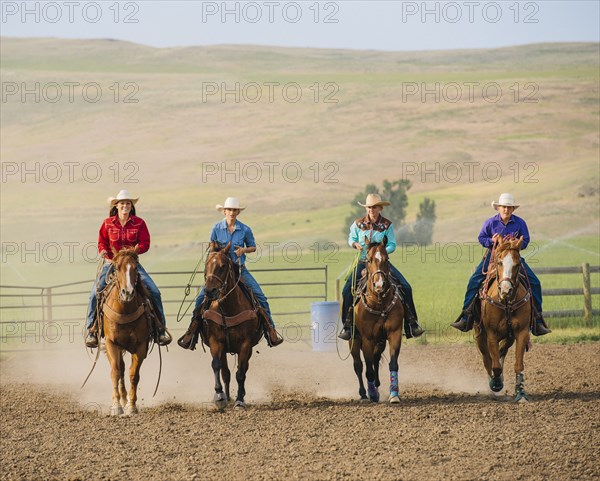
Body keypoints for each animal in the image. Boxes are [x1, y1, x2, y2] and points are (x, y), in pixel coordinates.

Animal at [101, 246, 154, 414]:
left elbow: (133, 374)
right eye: (117, 268)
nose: (128, 293)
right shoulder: (111, 343)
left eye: (135, 268)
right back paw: (122, 400)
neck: (124, 309)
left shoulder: (141, 345)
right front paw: (116, 406)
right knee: (120, 369)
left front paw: (131, 406)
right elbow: (115, 372)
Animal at [195, 242, 264, 406]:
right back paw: (226, 396)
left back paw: (241, 395)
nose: (209, 291)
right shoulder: (215, 341)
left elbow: (240, 373)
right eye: (206, 265)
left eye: (223, 266)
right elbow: (217, 366)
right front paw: (219, 395)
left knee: (243, 369)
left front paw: (239, 400)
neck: (228, 310)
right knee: (225, 372)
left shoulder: (245, 344)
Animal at [346, 240, 404, 402]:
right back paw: (364, 394)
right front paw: (371, 394)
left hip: (380, 341)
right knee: (358, 365)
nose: (379, 285)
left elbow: (392, 364)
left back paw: (377, 387)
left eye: (386, 259)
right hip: (353, 340)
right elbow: (368, 369)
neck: (379, 303)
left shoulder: (394, 333)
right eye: (369, 260)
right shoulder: (367, 338)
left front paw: (394, 394)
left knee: (376, 359)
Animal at [476, 235, 532, 402]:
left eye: (517, 264)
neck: (506, 303)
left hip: (509, 337)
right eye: (500, 262)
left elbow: (518, 364)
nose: (506, 289)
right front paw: (496, 383)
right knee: (487, 359)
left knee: (502, 352)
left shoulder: (521, 332)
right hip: (479, 335)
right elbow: (494, 365)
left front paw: (521, 393)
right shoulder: (491, 334)